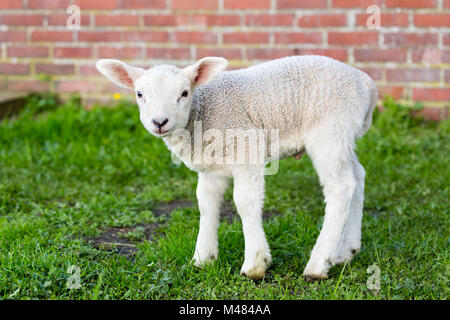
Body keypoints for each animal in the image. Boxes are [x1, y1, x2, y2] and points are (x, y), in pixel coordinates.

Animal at [96, 56, 378, 282]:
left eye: (185, 93)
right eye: (139, 94)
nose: (159, 122)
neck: (202, 112)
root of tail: (365, 82)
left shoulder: (247, 150)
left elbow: (245, 203)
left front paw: (255, 264)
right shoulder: (211, 167)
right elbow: (206, 203)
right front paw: (203, 258)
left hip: (329, 131)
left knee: (340, 187)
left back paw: (318, 264)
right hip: (344, 136)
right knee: (358, 176)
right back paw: (347, 251)